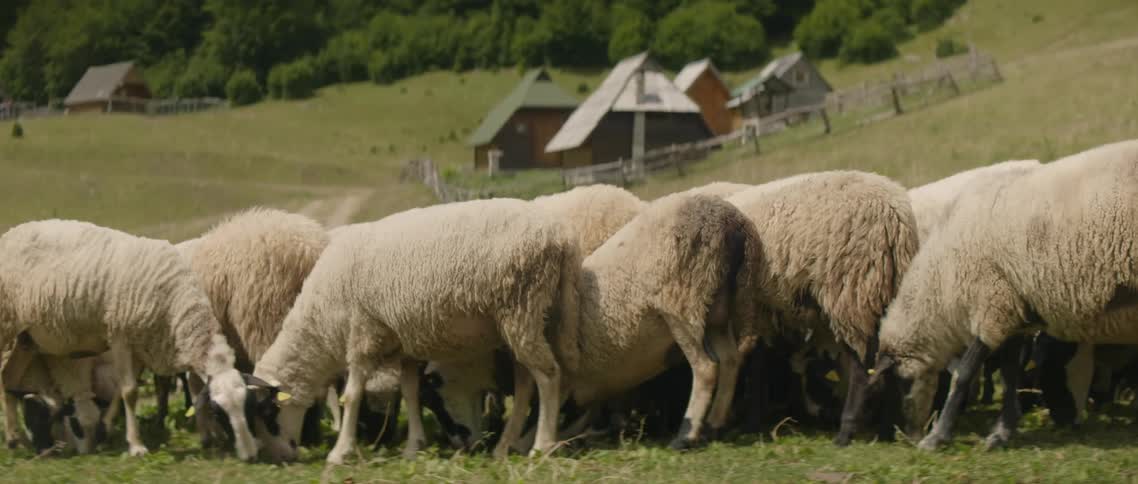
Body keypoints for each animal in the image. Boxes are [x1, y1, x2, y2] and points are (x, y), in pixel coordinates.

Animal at [0, 220, 260, 459]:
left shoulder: (141, 345)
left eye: (248, 406)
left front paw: (104, 429)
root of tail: (9, 233)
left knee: (8, 378)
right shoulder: (120, 336)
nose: (250, 455)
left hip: (26, 338)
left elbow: (121, 390)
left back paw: (17, 440)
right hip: (6, 323)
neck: (175, 303)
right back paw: (15, 439)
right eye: (217, 412)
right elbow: (129, 391)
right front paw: (136, 446)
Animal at [251, 198, 581, 464]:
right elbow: (410, 393)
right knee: (526, 383)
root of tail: (561, 236)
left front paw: (340, 452)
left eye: (268, 414)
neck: (321, 322)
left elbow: (352, 395)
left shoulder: (363, 333)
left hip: (522, 307)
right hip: (529, 319)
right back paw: (504, 446)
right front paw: (413, 446)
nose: (279, 458)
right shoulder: (403, 346)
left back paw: (541, 446)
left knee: (549, 376)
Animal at [427, 192, 761, 451]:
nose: (462, 446)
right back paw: (715, 422)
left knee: (706, 368)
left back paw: (685, 435)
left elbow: (542, 411)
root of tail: (731, 223)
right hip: (716, 310)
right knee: (731, 360)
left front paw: (526, 445)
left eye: (435, 396)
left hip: (682, 303)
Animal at [723, 170, 919, 446]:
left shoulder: (751, 311)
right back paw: (885, 432)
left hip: (851, 292)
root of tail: (895, 215)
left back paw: (845, 433)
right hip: (885, 293)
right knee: (888, 360)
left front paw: (751, 422)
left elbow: (754, 368)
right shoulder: (762, 312)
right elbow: (759, 363)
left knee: (862, 370)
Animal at [871, 140, 1138, 451]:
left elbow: (963, 374)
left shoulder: (990, 305)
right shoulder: (1011, 310)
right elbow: (1010, 375)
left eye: (900, 383)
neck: (941, 284)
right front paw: (1002, 432)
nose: (910, 435)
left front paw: (937, 436)